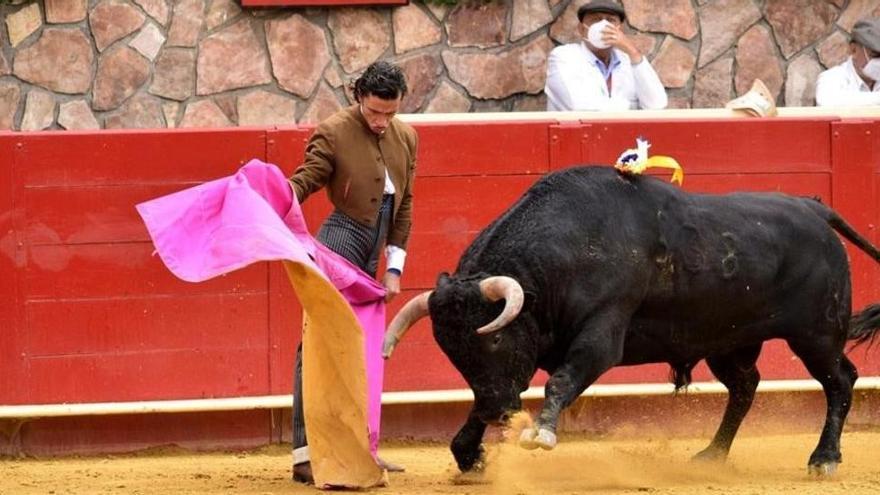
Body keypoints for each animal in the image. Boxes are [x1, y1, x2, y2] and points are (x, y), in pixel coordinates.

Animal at [386, 166, 880, 476]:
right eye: (453, 352)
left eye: (492, 341)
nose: (495, 413)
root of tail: (813, 209)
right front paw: (469, 454)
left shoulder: (601, 336)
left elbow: (561, 380)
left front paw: (541, 433)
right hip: (728, 341)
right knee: (744, 387)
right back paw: (711, 454)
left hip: (816, 334)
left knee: (840, 380)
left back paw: (824, 458)